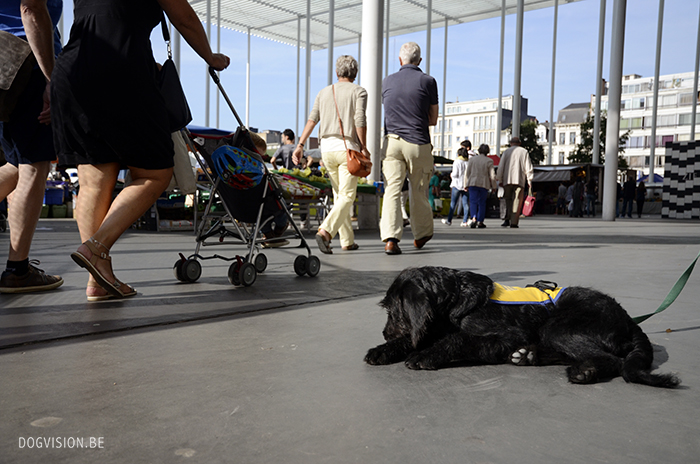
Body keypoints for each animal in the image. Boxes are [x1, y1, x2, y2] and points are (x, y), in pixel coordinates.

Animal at [364, 264, 680, 388]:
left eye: (393, 310)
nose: (384, 332)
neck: (457, 300)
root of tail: (628, 320)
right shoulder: (432, 327)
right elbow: (417, 337)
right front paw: (383, 349)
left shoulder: (506, 335)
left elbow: (459, 339)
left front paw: (425, 355)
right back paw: (530, 355)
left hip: (559, 327)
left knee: (612, 360)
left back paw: (583, 371)